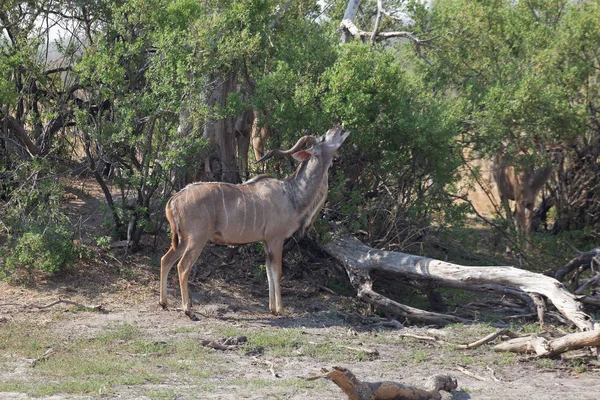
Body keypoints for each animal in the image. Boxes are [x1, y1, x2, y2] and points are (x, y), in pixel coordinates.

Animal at [161, 125, 352, 318]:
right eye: (324, 138)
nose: (339, 127)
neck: (291, 195)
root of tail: (174, 200)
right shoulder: (276, 239)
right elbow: (277, 272)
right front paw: (280, 310)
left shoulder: (266, 241)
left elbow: (268, 273)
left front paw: (272, 308)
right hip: (197, 239)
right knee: (182, 266)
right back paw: (188, 309)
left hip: (183, 240)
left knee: (165, 260)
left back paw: (164, 303)